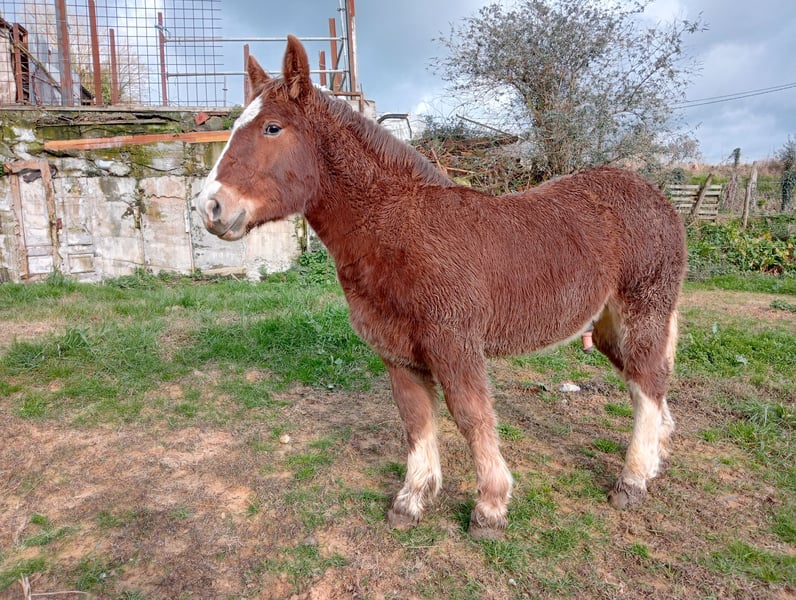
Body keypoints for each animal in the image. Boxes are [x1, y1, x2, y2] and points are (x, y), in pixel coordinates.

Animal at [196, 35, 687, 540]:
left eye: (272, 128)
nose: (209, 207)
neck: (398, 229)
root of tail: (657, 198)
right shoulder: (397, 351)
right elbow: (416, 420)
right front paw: (412, 499)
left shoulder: (454, 344)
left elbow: (471, 416)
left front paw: (490, 507)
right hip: (608, 326)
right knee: (646, 381)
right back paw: (655, 460)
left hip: (643, 310)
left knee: (647, 383)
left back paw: (632, 480)